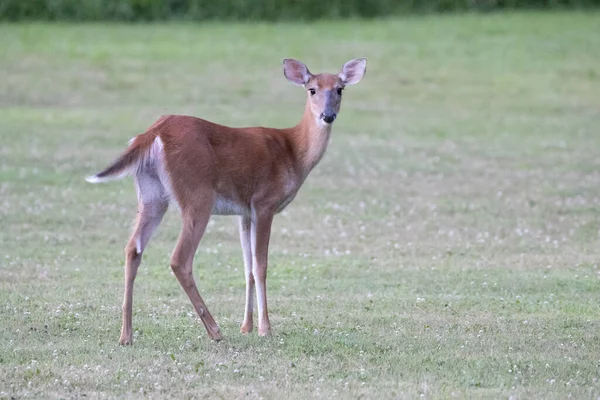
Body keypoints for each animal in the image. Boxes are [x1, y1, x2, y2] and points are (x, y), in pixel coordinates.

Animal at [84, 57, 366, 346]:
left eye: (340, 89)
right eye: (312, 89)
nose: (328, 115)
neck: (293, 151)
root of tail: (153, 133)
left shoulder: (244, 212)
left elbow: (247, 267)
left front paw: (247, 326)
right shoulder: (264, 203)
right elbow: (261, 265)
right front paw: (265, 328)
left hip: (152, 195)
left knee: (133, 248)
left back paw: (126, 335)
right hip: (197, 194)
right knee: (179, 259)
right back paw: (215, 330)